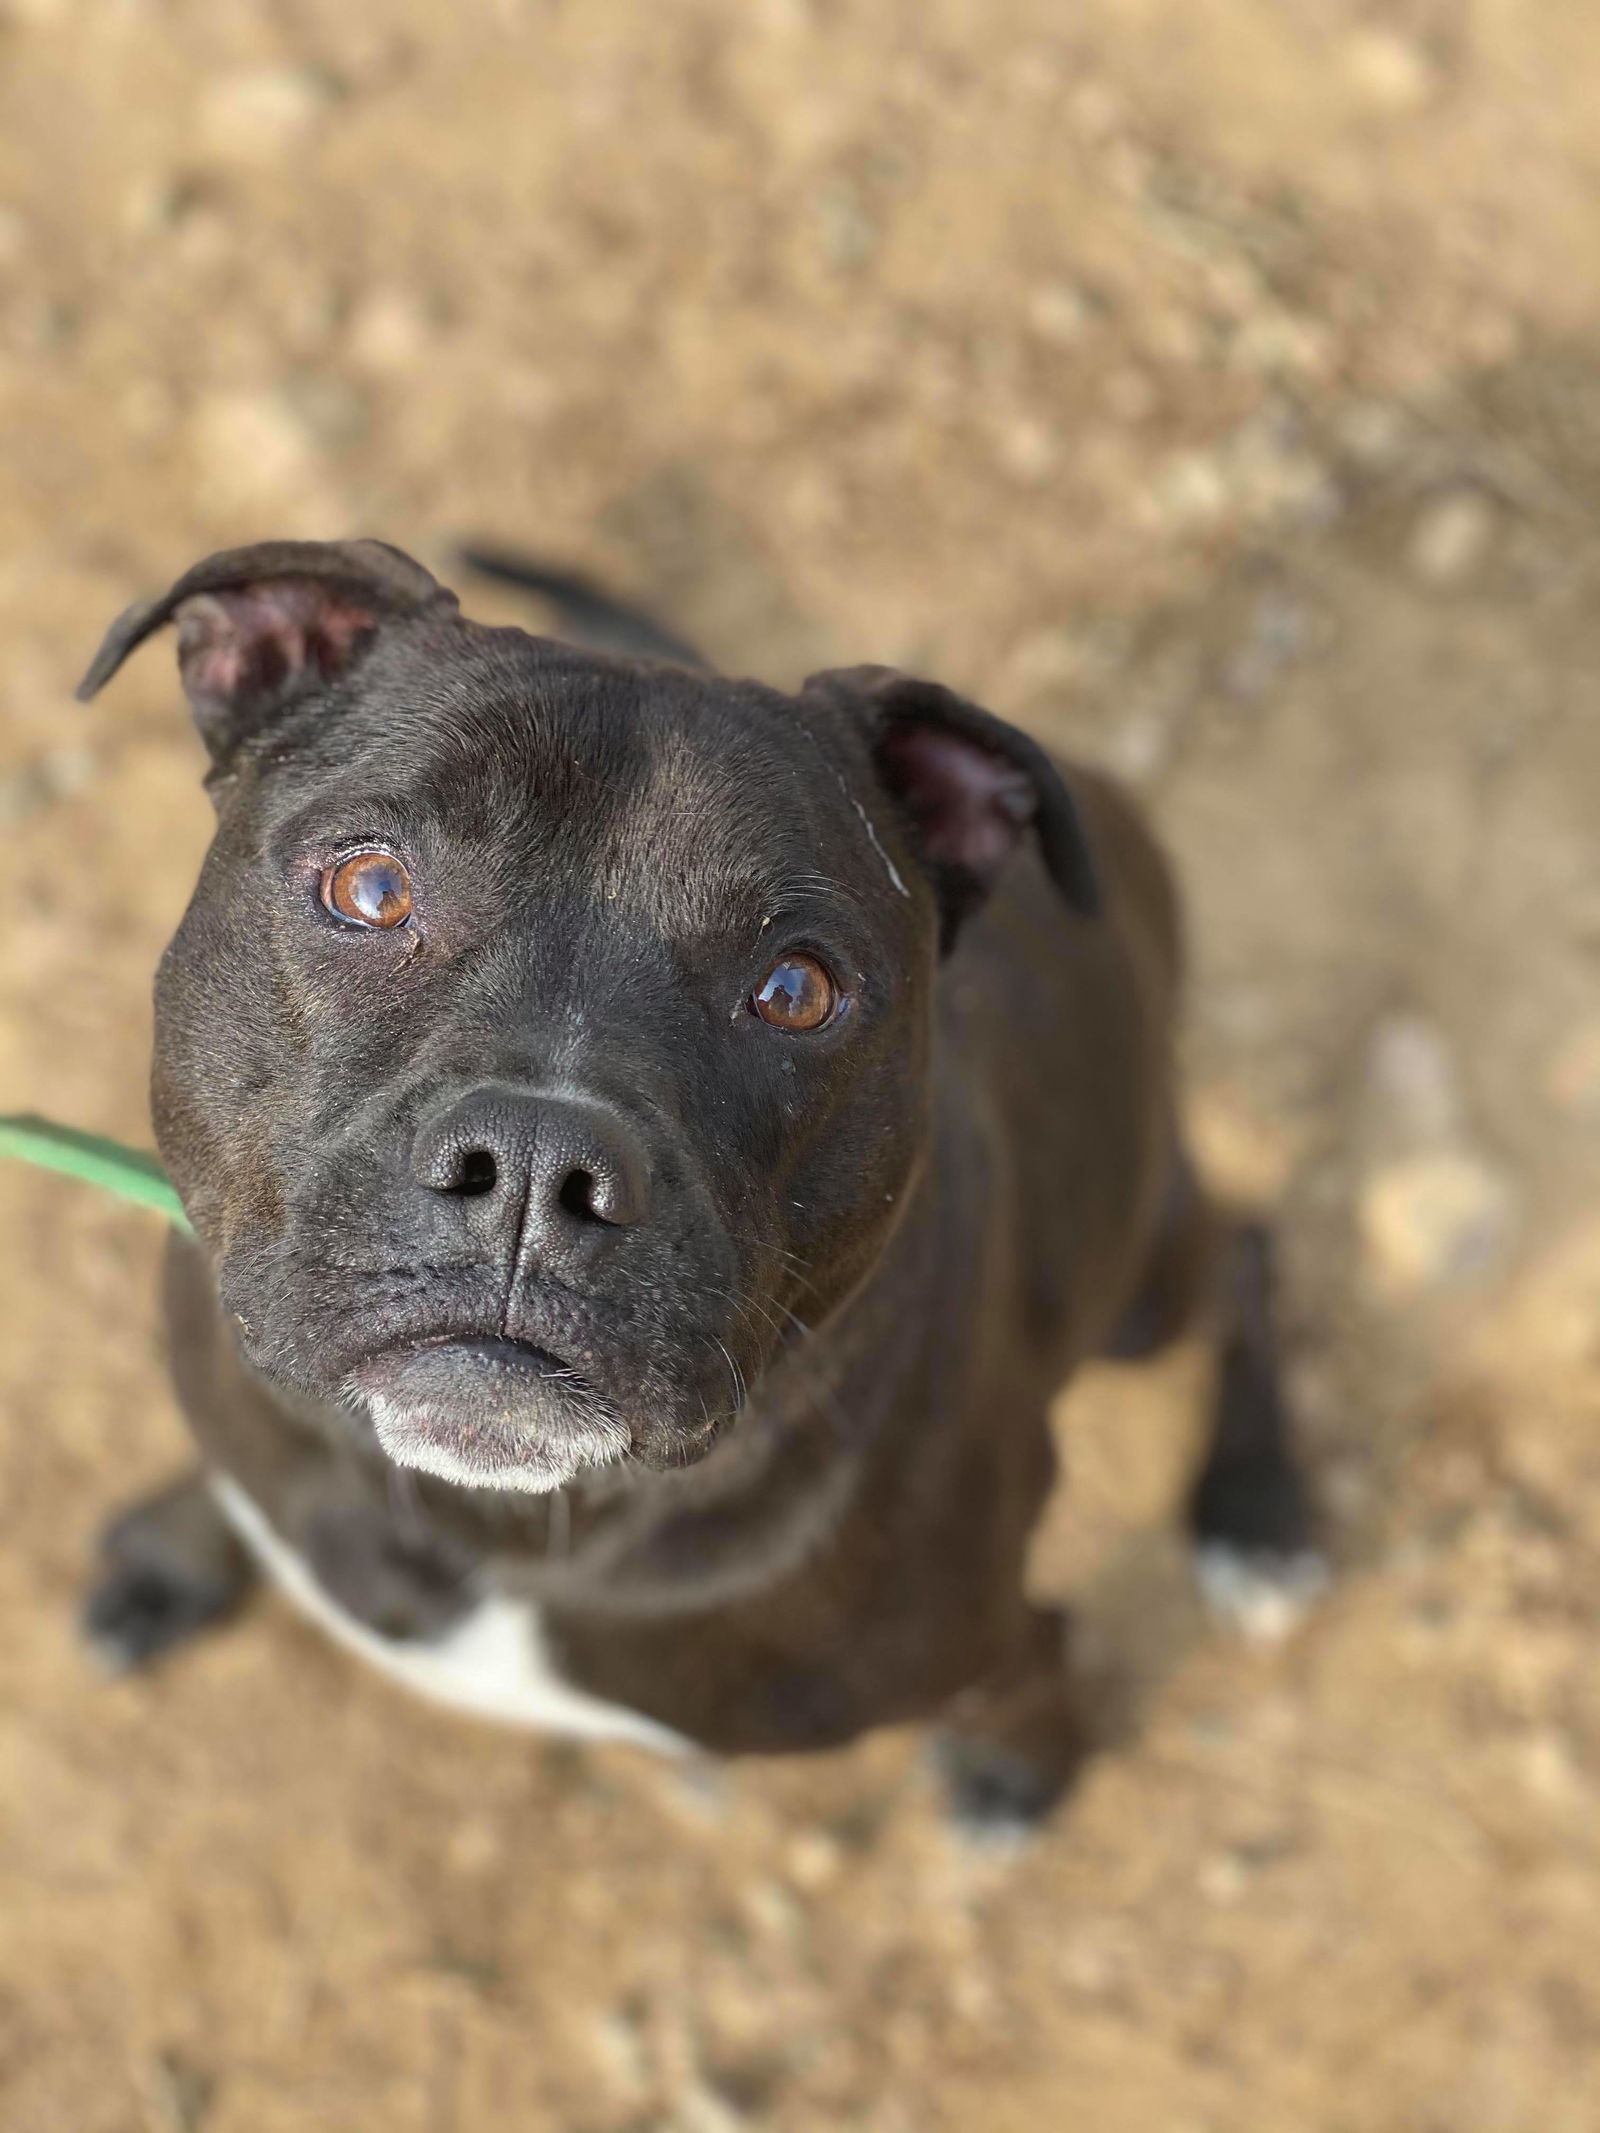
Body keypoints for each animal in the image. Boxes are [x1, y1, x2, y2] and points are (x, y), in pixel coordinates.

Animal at [75, 541, 1322, 1825]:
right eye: (371, 890)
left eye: (798, 990)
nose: (536, 1164)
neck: (497, 1520)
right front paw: (176, 1554)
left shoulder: (980, 1634)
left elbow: (1038, 1660)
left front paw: (1022, 1764)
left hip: (1139, 1285)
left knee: (1244, 1254)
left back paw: (1258, 1518)